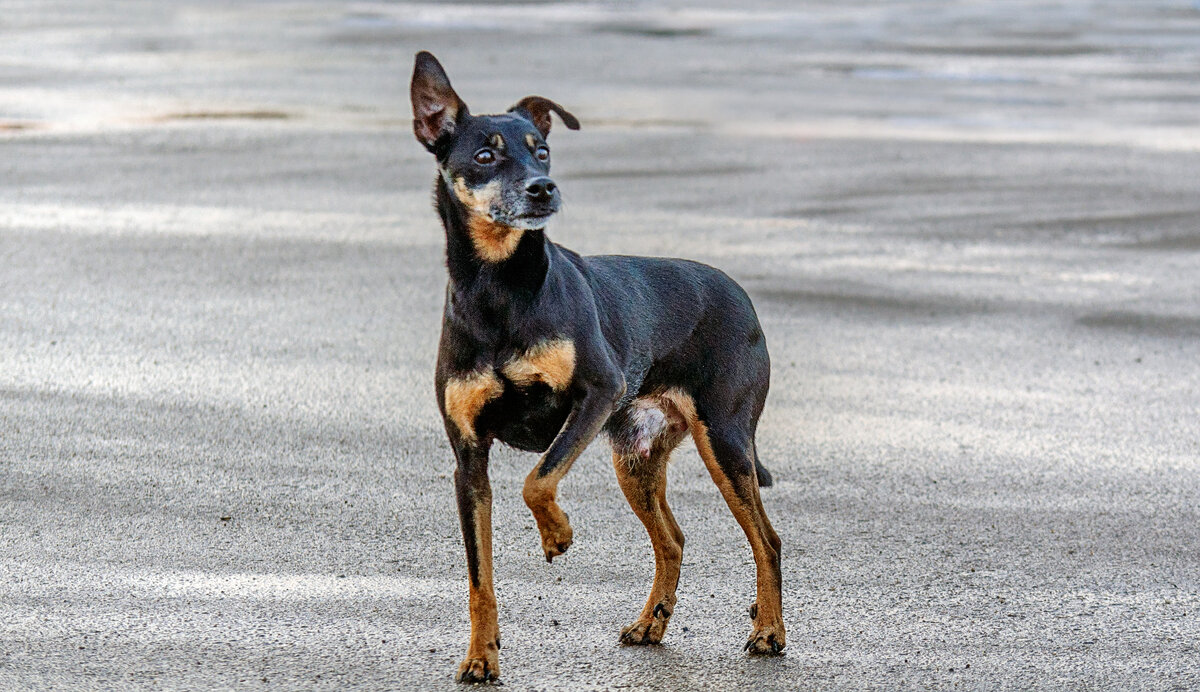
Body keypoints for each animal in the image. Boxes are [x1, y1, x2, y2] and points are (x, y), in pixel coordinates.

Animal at [410, 51, 787, 681]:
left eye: (542, 150)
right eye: (485, 156)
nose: (543, 188)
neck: (498, 289)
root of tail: (737, 292)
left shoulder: (597, 393)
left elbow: (538, 480)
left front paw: (557, 534)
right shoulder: (468, 459)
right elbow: (480, 577)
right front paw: (481, 657)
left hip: (725, 440)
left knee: (768, 540)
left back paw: (769, 631)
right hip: (634, 455)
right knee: (673, 540)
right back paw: (650, 624)